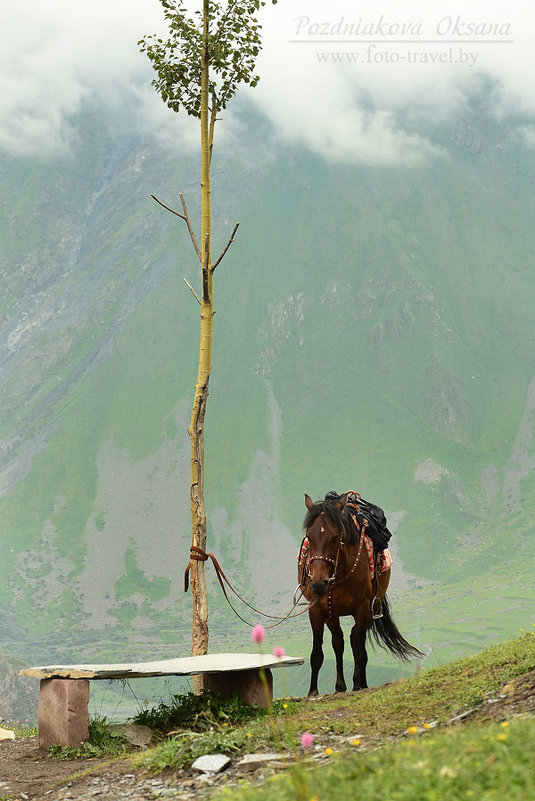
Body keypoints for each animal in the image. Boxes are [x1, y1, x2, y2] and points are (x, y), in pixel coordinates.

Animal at [302, 488, 422, 692]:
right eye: (309, 536)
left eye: (336, 536)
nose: (318, 583)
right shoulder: (317, 610)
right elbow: (317, 653)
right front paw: (312, 692)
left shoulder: (363, 608)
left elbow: (359, 649)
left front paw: (359, 683)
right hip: (332, 614)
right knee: (339, 642)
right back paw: (340, 685)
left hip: (369, 610)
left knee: (354, 641)